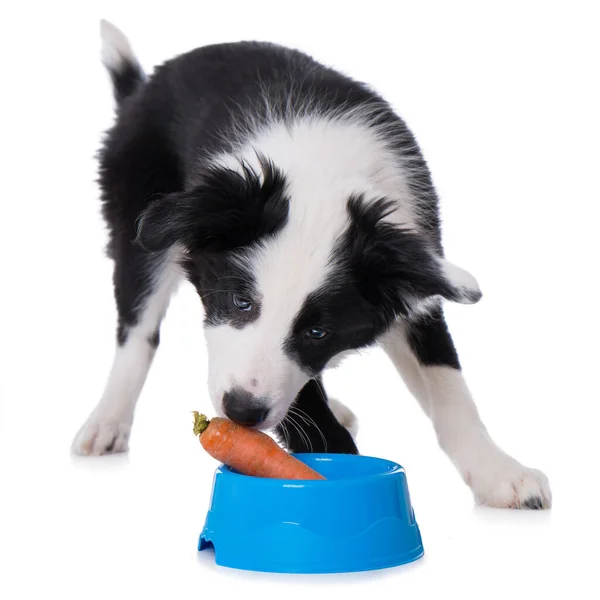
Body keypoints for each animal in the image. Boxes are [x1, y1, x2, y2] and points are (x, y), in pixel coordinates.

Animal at [72, 18, 552, 508]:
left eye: (319, 332)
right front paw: (329, 467)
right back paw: (106, 421)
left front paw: (499, 472)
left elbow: (447, 380)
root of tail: (141, 87)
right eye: (241, 303)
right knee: (137, 331)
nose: (241, 412)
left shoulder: (414, 277)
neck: (324, 179)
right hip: (141, 225)